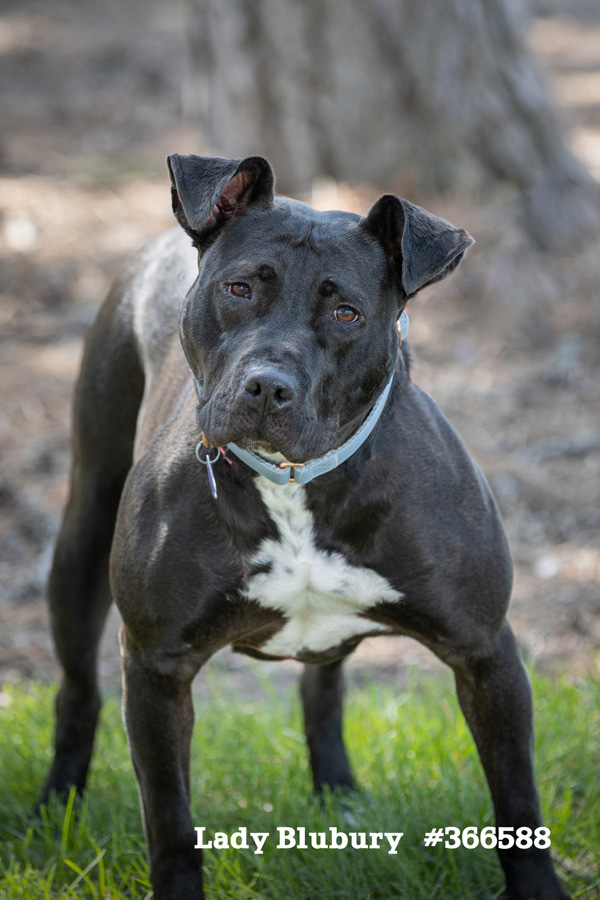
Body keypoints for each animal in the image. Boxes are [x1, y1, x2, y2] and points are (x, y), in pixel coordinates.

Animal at [39, 156, 568, 900]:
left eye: (346, 313)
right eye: (238, 289)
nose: (268, 386)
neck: (295, 484)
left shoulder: (485, 654)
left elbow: (519, 805)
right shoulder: (155, 666)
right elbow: (169, 819)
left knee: (325, 683)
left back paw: (338, 796)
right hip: (82, 531)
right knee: (77, 692)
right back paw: (55, 805)